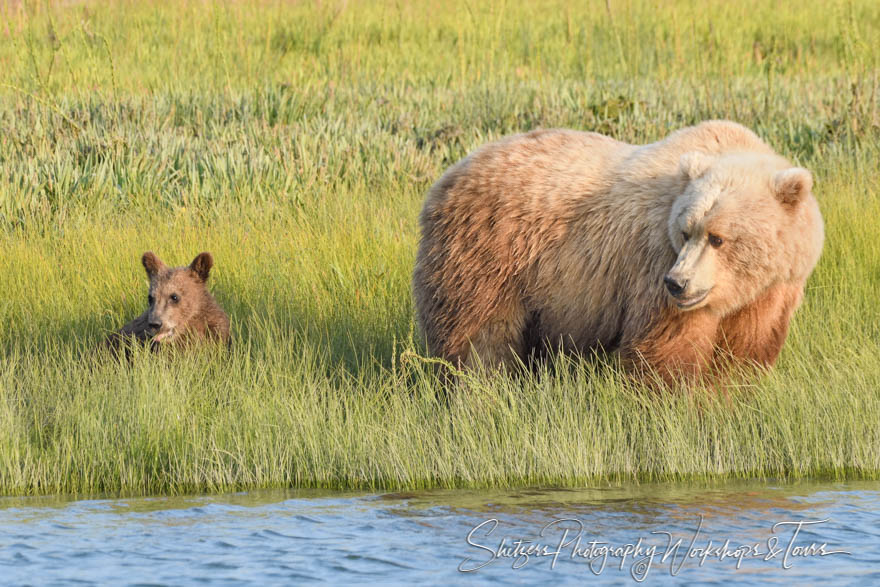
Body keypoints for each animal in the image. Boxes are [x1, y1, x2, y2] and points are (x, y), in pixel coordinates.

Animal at [412, 121, 824, 384]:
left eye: (718, 238)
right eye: (685, 230)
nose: (677, 282)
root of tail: (446, 177)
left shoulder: (772, 292)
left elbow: (746, 351)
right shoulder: (652, 264)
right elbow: (665, 351)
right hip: (488, 256)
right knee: (480, 339)